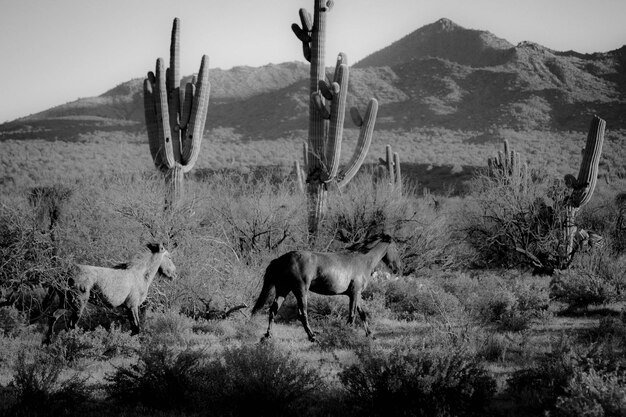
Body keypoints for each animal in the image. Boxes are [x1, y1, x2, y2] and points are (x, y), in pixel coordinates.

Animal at [249, 234, 400, 342]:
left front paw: (371, 335)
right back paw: (312, 337)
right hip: (300, 291)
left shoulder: (356, 294)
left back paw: (268, 335)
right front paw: (346, 334)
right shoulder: (355, 293)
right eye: (395, 248)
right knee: (302, 313)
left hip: (283, 290)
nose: (397, 269)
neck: (362, 260)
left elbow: (362, 314)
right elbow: (352, 315)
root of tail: (281, 259)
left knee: (273, 310)